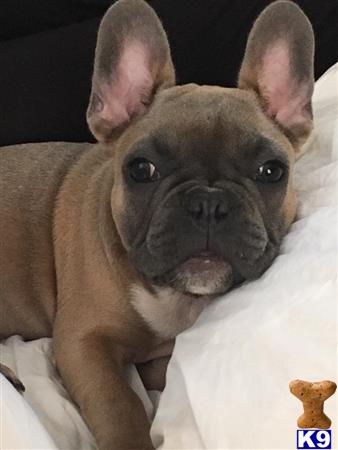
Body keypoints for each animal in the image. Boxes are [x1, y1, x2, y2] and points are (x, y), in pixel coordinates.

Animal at [0, 0, 314, 448]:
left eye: (271, 171)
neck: (171, 296)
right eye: (141, 169)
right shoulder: (82, 342)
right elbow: (120, 404)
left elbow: (161, 369)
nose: (208, 202)